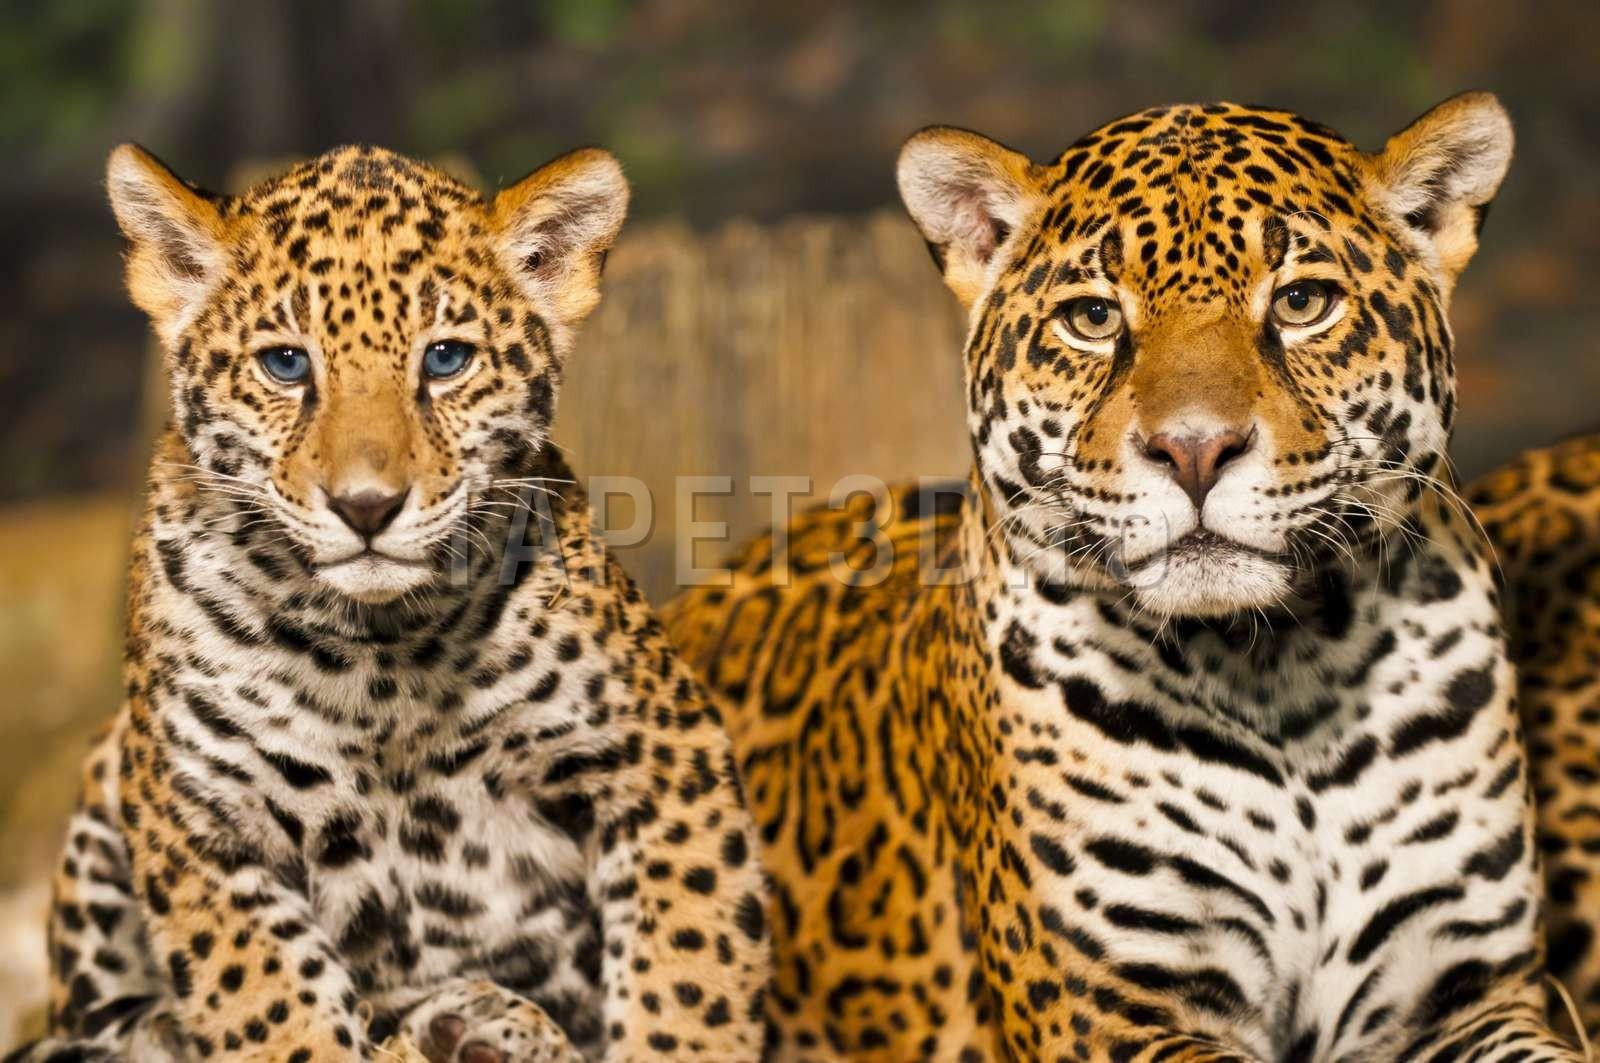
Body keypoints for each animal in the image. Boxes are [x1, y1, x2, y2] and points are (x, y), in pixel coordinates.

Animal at [9, 143, 769, 1062]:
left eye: (445, 360)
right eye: (285, 363)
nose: (366, 506)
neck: (380, 658)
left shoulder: (662, 759)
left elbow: (689, 973)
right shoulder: (203, 825)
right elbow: (276, 1012)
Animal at [664, 93, 1586, 1060]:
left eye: (1303, 302)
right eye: (1094, 318)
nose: (1194, 449)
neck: (1283, 675)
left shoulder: (1470, 993)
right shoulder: (1108, 1011)